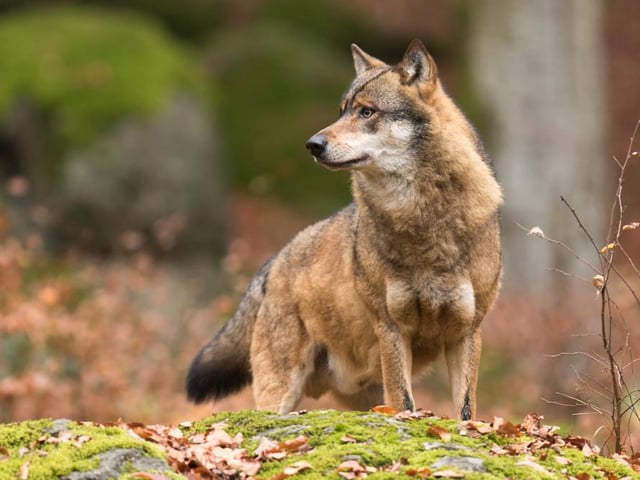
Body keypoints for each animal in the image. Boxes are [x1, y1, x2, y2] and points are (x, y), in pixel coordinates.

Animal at [186, 39, 502, 420]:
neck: (424, 220)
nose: (312, 144)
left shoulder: (467, 332)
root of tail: (274, 261)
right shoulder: (391, 328)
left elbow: (466, 411)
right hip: (281, 392)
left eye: (367, 112)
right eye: (342, 111)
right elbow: (405, 403)